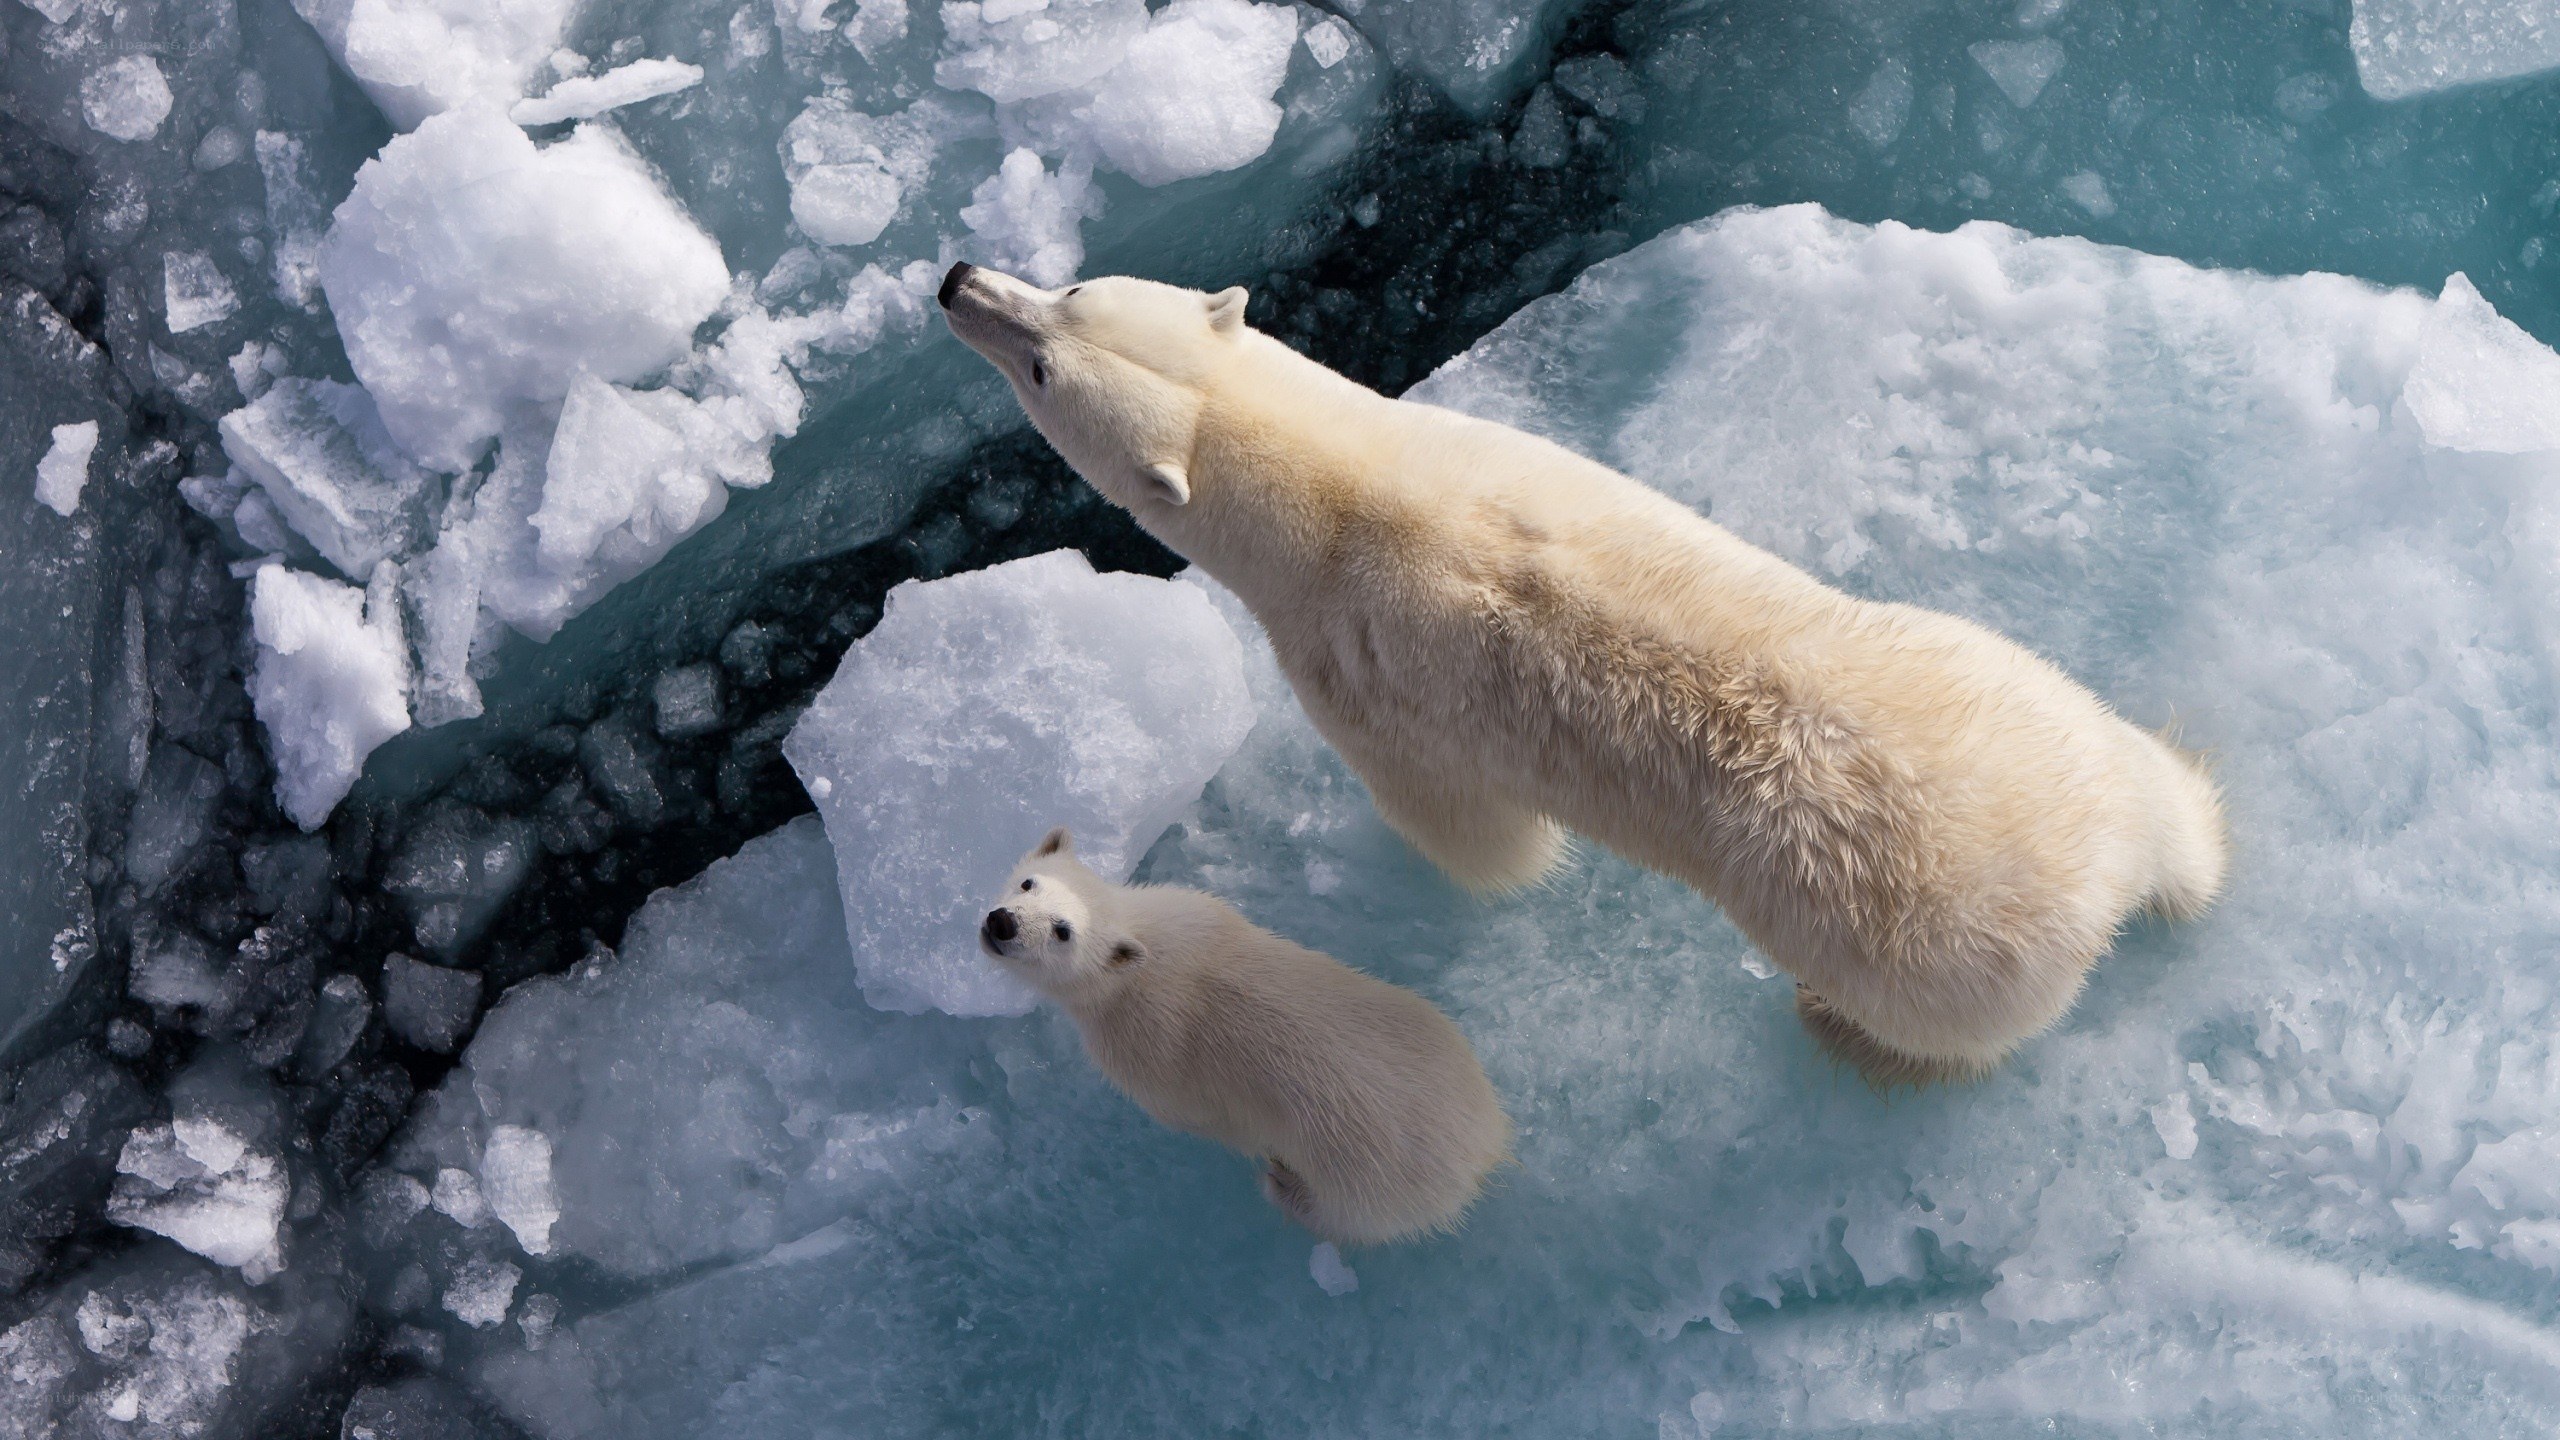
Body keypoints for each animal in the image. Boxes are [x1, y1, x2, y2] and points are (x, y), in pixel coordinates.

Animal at [939, 261, 2228, 1086]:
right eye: (1071, 295)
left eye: (1045, 356)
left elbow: (1467, 832)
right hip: (2017, 689)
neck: (1344, 492)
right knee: (2153, 782)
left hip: (1918, 945)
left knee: (1938, 1027)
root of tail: (2099, 871)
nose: (956, 279)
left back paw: (1837, 1029)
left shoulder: (1354, 672)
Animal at [981, 827, 1511, 1245]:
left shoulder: (1146, 1054)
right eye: (1029, 882)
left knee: (1346, 1217)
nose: (1002, 922)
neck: (1147, 955)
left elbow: (1194, 1116)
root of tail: (1484, 1146)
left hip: (1366, 1178)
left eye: (1063, 930)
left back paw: (1282, 1185)